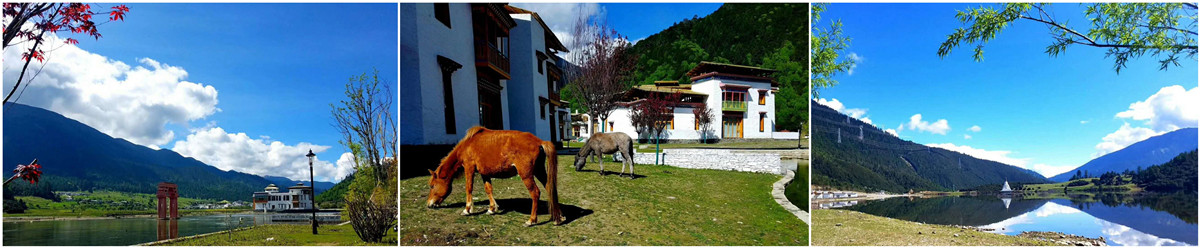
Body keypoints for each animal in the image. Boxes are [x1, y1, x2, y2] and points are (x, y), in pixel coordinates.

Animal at [429, 126, 564, 225]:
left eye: (432, 186)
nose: (429, 204)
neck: (468, 145)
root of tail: (540, 142)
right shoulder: (484, 173)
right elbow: (488, 189)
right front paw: (492, 209)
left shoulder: (469, 168)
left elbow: (469, 188)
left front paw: (467, 210)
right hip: (539, 171)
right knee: (550, 188)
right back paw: (559, 217)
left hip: (526, 175)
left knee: (535, 193)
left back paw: (531, 220)